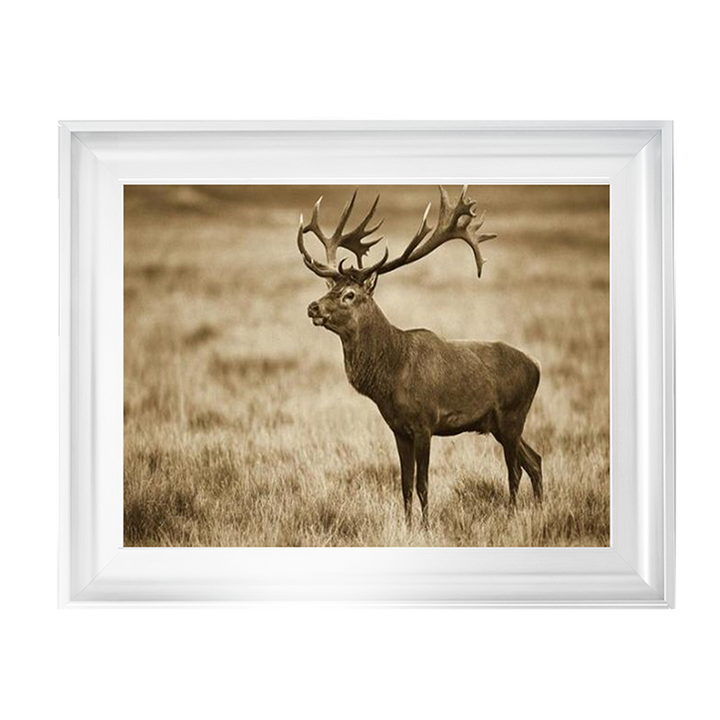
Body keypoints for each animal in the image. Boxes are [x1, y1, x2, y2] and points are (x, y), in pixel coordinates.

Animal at [297, 186, 543, 528]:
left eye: (350, 294)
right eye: (330, 287)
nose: (313, 307)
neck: (391, 376)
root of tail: (537, 367)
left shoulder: (426, 422)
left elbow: (423, 483)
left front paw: (425, 527)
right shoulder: (398, 429)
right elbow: (404, 484)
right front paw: (408, 524)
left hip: (512, 415)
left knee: (516, 470)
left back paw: (512, 515)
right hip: (499, 424)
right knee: (535, 460)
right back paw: (541, 510)